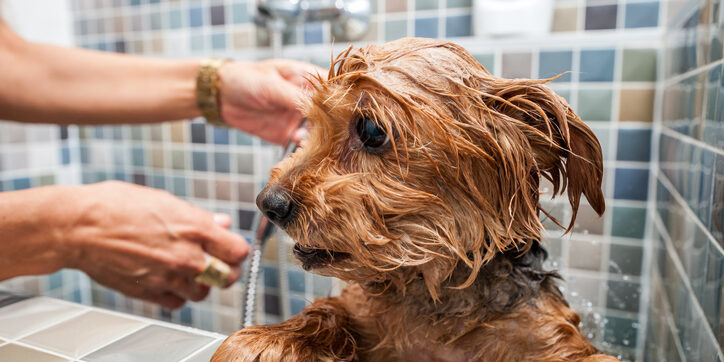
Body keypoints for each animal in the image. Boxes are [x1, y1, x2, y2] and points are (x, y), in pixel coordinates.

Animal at [212, 38, 612, 360]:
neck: (433, 295)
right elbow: (326, 312)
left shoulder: (544, 334)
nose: (268, 204)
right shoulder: (362, 310)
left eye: (372, 130)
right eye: (312, 124)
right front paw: (258, 343)